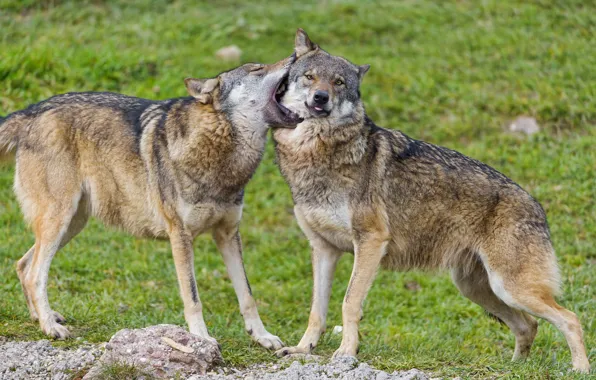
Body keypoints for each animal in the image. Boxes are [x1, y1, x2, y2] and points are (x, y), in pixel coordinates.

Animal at [0, 54, 302, 350]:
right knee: (35, 274)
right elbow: (193, 297)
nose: (294, 55)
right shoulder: (180, 236)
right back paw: (50, 327)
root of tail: (32, 111)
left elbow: (247, 295)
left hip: (73, 224)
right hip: (60, 221)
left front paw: (262, 336)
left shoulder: (228, 234)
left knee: (22, 265)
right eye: (257, 69)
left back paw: (43, 318)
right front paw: (201, 338)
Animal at [272, 30, 588, 374]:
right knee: (528, 325)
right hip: (479, 289)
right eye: (310, 77)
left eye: (339, 82)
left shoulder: (370, 242)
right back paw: (514, 369)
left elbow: (349, 302)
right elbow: (316, 310)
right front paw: (302, 349)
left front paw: (346, 353)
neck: (315, 154)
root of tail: (538, 206)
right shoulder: (323, 249)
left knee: (570, 319)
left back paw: (580, 369)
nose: (321, 98)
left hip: (509, 288)